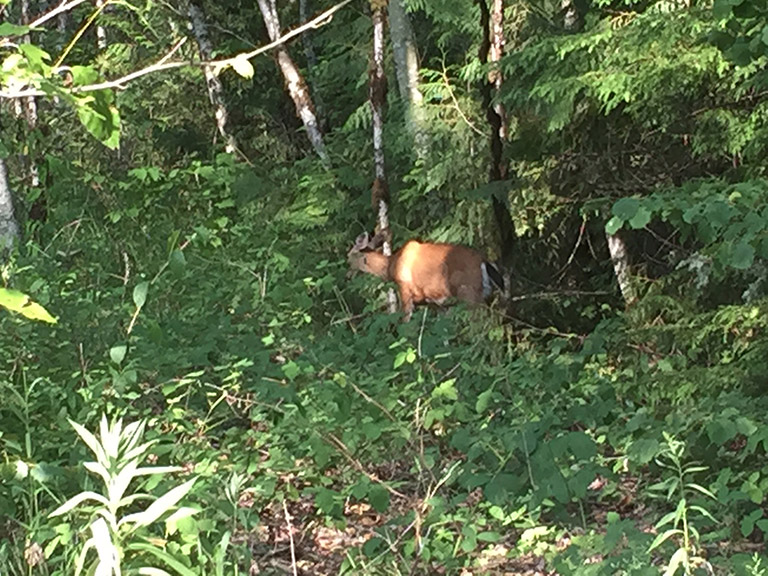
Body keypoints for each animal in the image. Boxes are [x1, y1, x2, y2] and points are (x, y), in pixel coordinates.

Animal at [346, 232, 504, 322]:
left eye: (348, 257)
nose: (347, 276)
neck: (393, 265)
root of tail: (483, 261)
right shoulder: (433, 301)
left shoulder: (405, 291)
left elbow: (405, 322)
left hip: (467, 291)